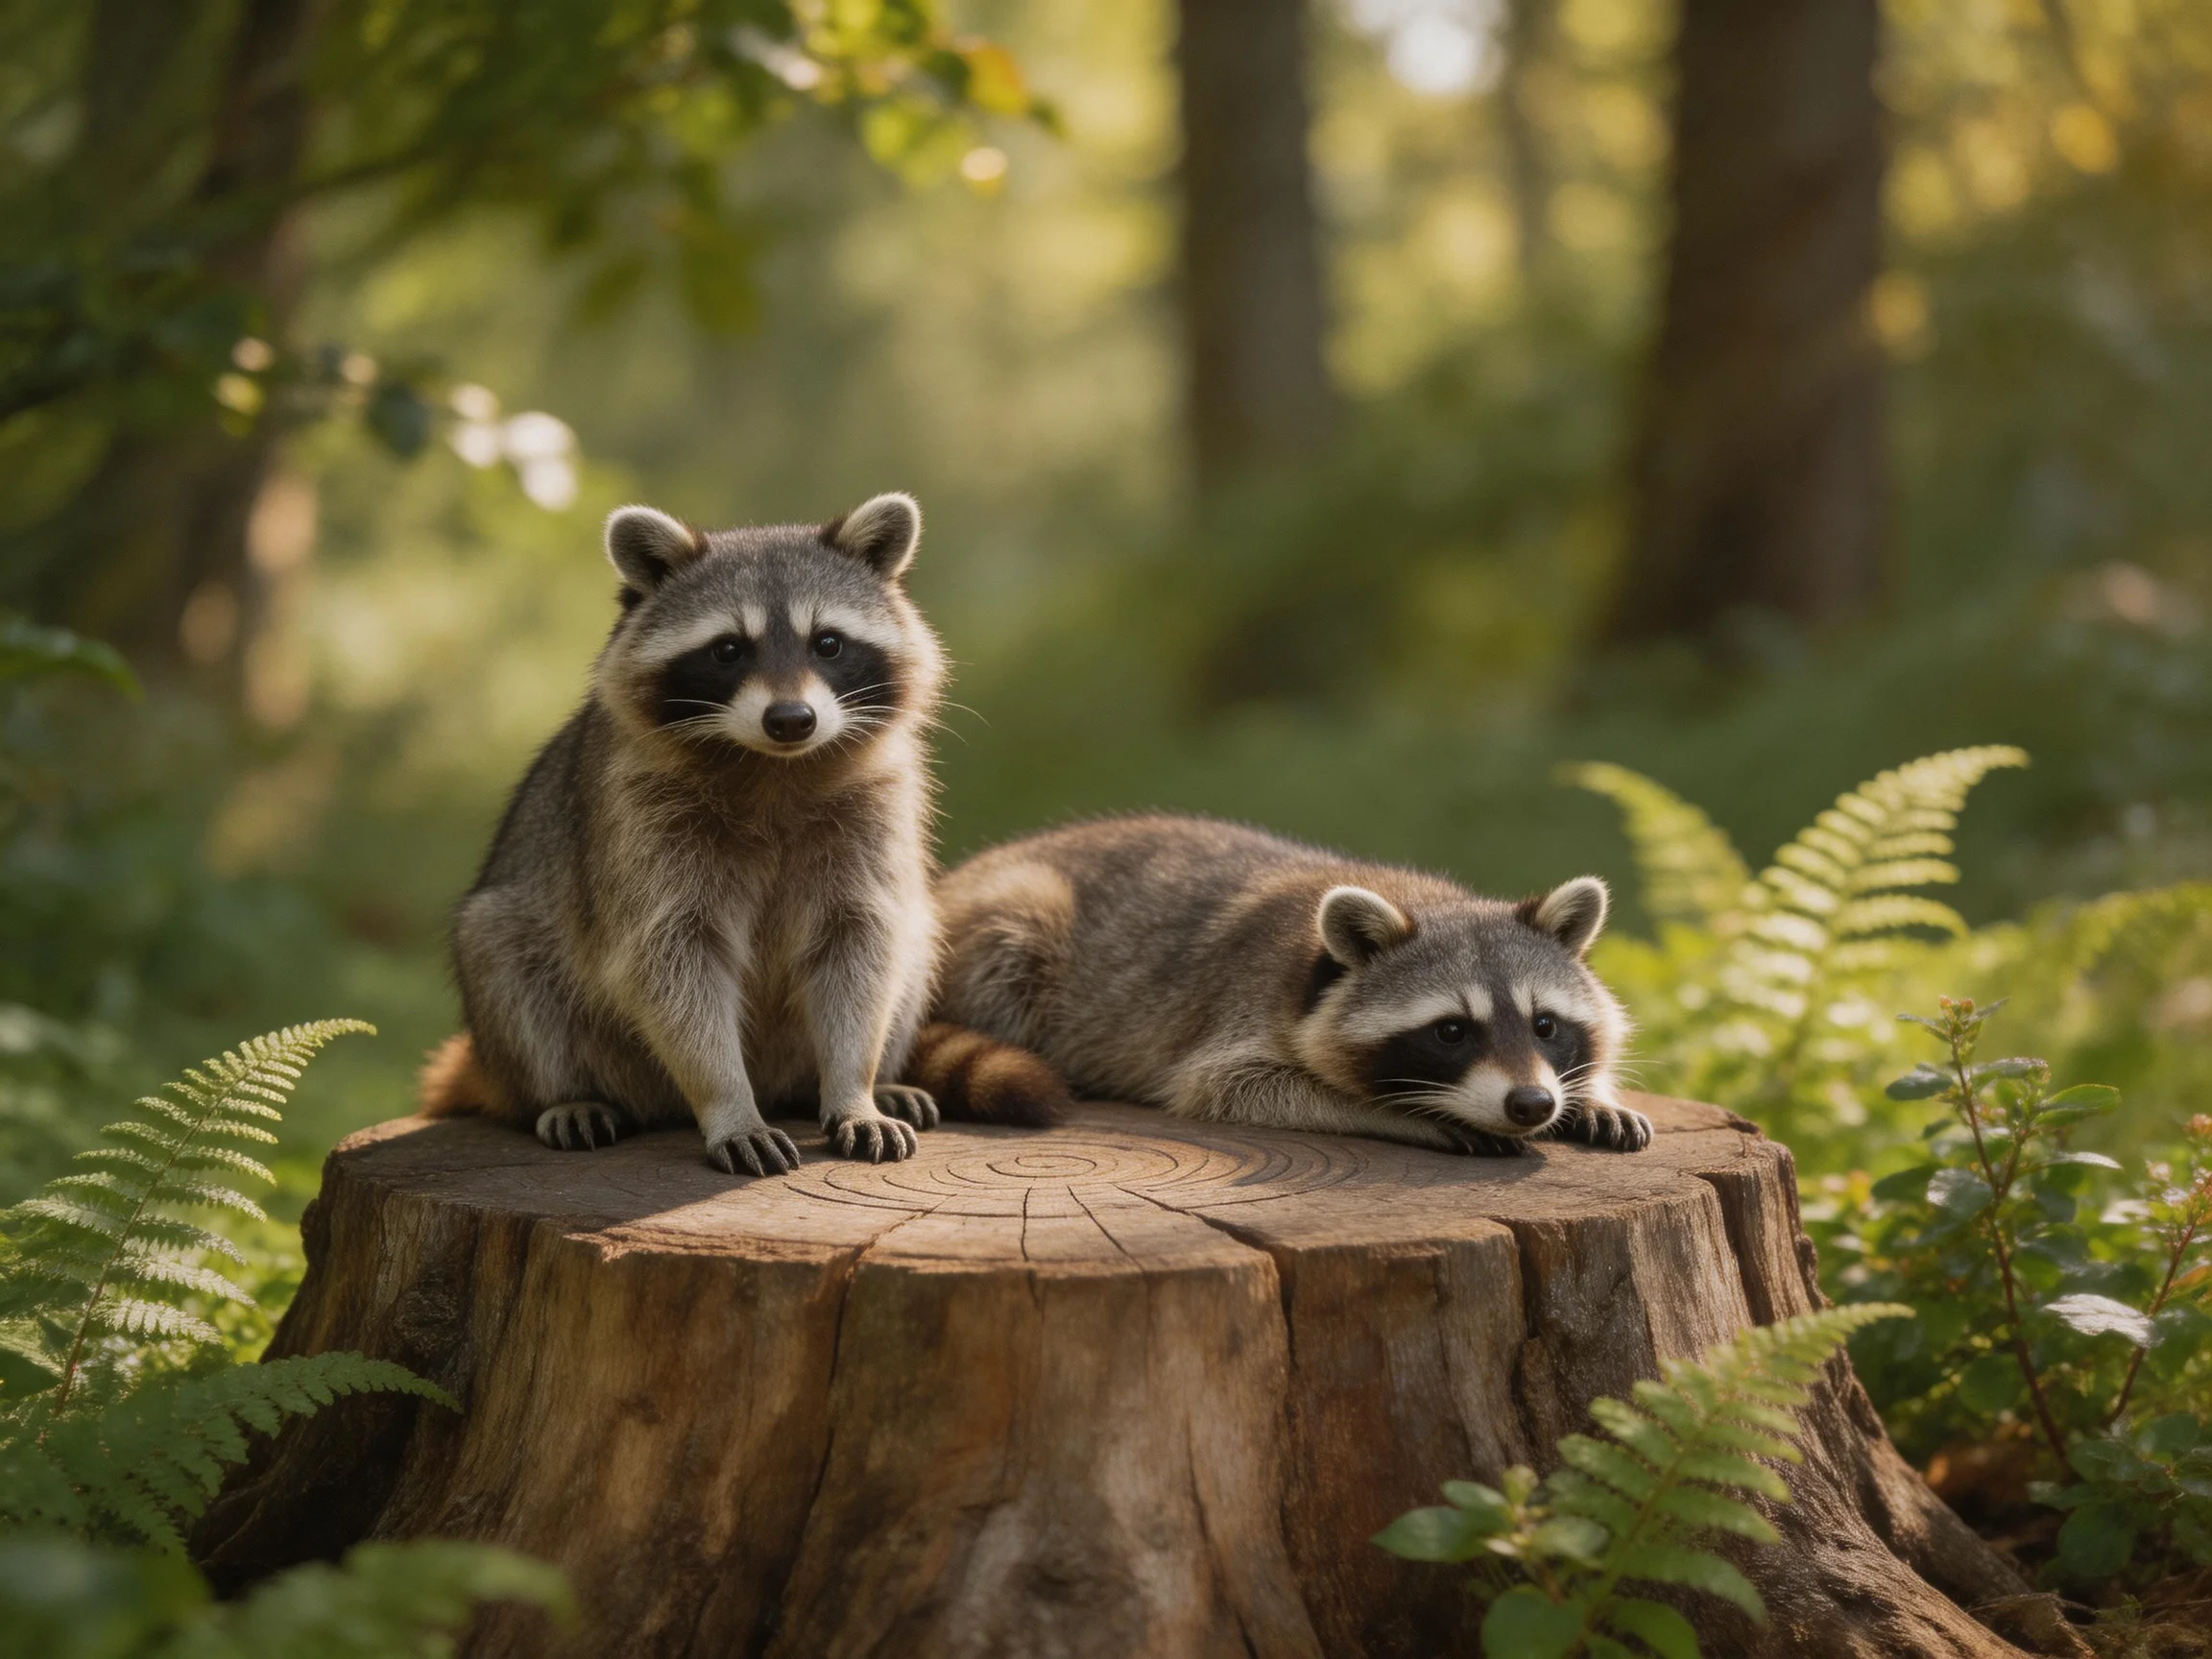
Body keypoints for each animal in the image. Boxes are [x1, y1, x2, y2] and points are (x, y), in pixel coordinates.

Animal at [417, 493, 946, 1177]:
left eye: (828, 643)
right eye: (728, 650)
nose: (791, 720)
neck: (773, 767)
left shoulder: (877, 804)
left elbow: (862, 943)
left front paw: (854, 1087)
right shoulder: (638, 820)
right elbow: (670, 962)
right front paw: (728, 1103)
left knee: (914, 934)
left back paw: (870, 1081)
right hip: (523, 973)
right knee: (502, 954)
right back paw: (563, 1093)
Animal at [923, 815, 1647, 1156]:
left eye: (1544, 1024)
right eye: (1451, 1031)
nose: (1532, 1105)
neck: (1426, 899)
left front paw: (1593, 1093)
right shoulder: (1243, 1010)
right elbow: (1234, 1087)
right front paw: (1408, 1116)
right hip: (1009, 919)